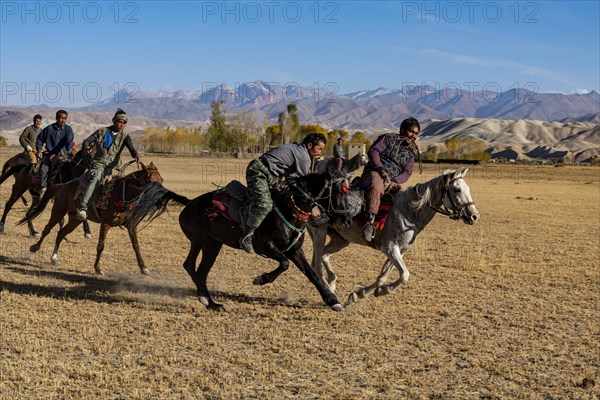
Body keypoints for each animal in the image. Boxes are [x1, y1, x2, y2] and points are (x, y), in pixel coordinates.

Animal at [18, 161, 165, 276]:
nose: (160, 201)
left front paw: (144, 268)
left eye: (161, 181)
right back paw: (35, 247)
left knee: (61, 233)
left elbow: (136, 245)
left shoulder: (131, 225)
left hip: (75, 219)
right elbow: (101, 245)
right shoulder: (105, 224)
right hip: (58, 211)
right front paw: (98, 269)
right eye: (150, 180)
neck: (122, 194)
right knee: (47, 229)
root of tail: (63, 186)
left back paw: (54, 258)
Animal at [126, 170, 352, 310]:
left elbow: (312, 274)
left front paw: (332, 300)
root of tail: (189, 203)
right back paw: (206, 299)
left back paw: (213, 304)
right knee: (190, 265)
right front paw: (261, 279)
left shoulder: (295, 251)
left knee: (201, 271)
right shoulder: (266, 246)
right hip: (199, 240)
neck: (289, 208)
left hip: (213, 245)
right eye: (338, 190)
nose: (348, 219)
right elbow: (284, 264)